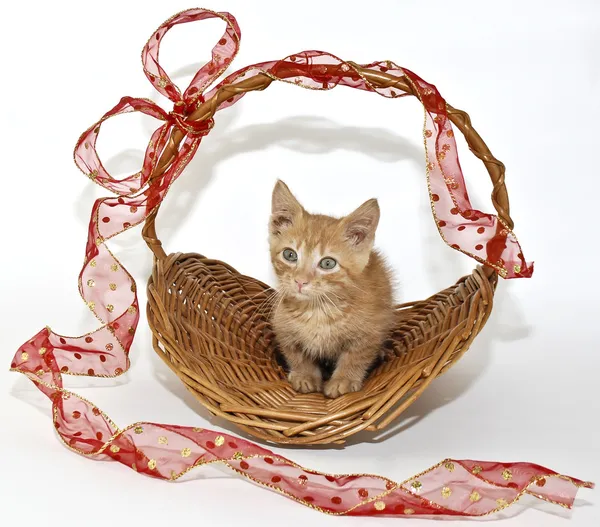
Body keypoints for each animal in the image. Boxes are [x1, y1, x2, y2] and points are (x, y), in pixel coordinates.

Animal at [268, 179, 394, 398]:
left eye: (327, 263)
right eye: (290, 255)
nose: (300, 281)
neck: (317, 310)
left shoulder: (371, 332)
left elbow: (356, 356)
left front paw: (343, 380)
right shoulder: (283, 328)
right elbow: (296, 354)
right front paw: (305, 376)